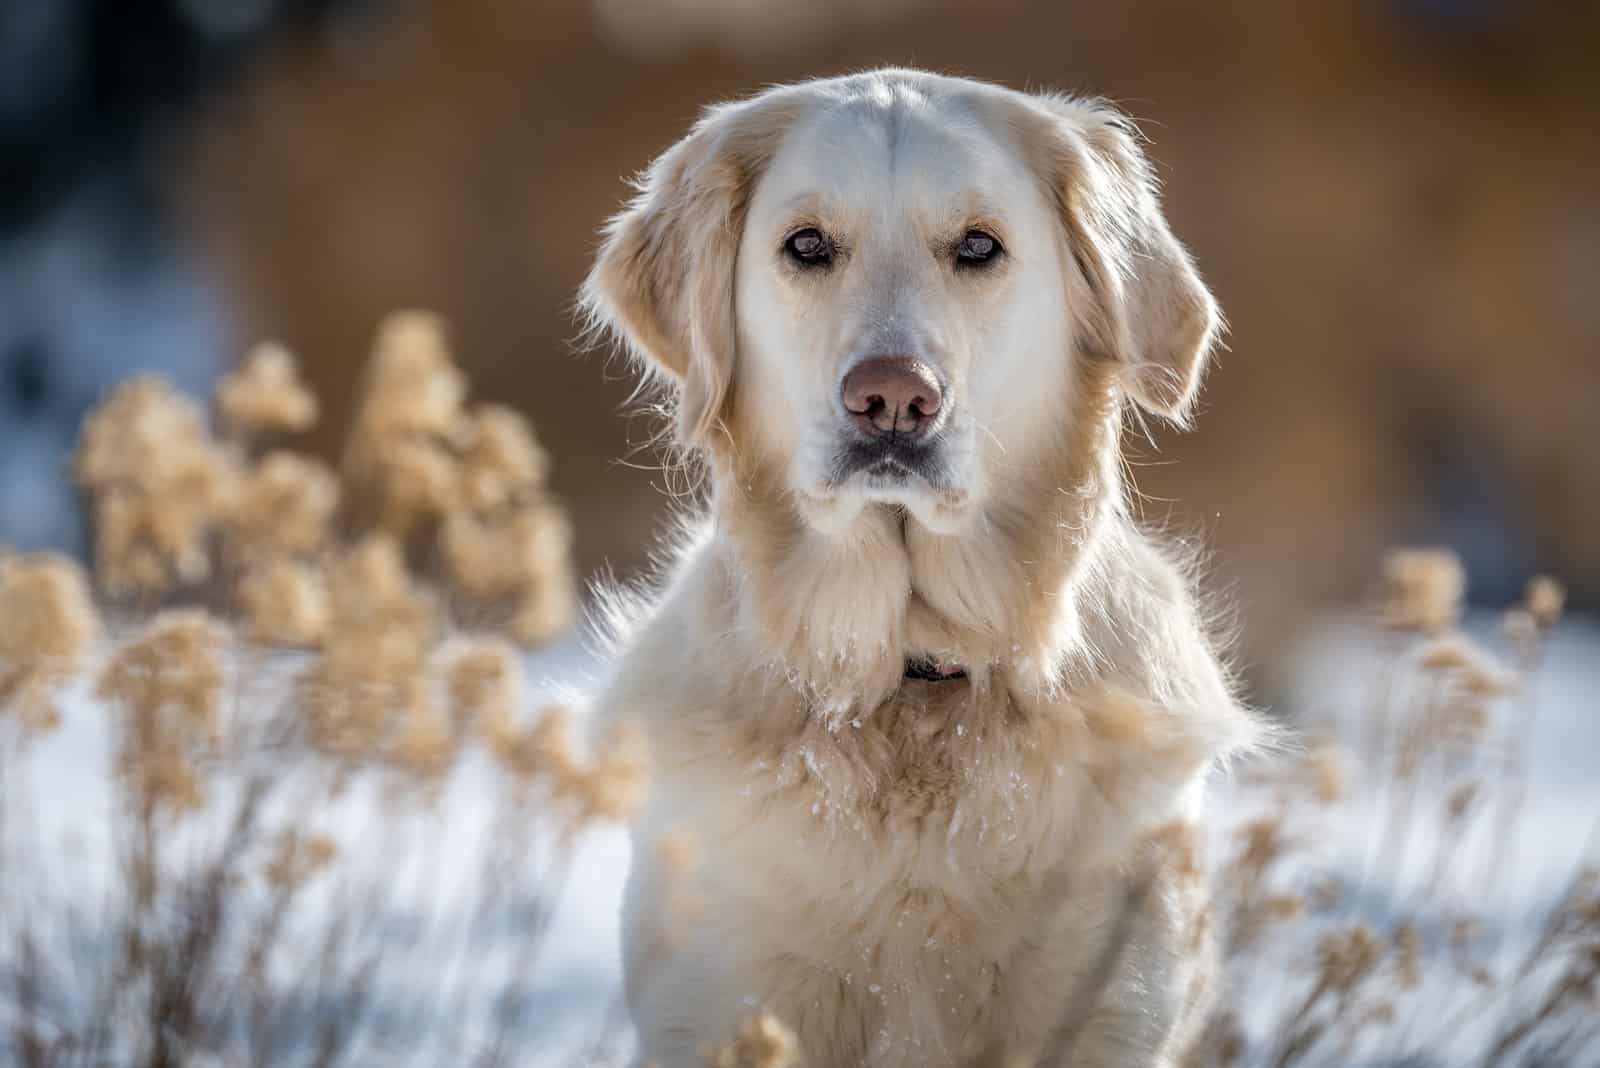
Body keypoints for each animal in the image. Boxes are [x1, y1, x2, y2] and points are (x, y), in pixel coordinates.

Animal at [582, 68, 1267, 1068]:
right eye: (807, 245)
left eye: (979, 246)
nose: (893, 398)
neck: (910, 682)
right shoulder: (725, 996)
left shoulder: (1107, 995)